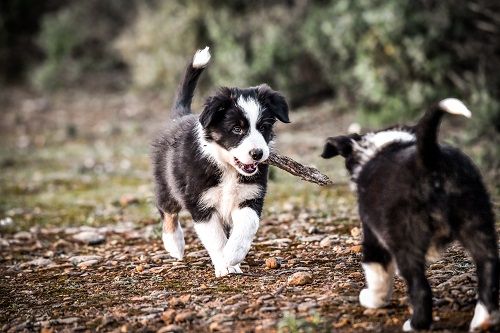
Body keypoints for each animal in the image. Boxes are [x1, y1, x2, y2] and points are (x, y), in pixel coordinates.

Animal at [151, 46, 290, 274]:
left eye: (263, 127)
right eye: (237, 129)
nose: (258, 154)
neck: (227, 167)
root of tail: (180, 116)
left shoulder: (250, 196)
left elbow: (246, 226)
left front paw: (233, 256)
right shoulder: (201, 203)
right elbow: (215, 238)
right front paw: (224, 265)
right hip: (166, 183)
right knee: (167, 210)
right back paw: (175, 244)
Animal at [322, 98, 498, 330]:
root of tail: (429, 156)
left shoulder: (372, 235)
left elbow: (376, 272)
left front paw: (372, 299)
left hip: (405, 237)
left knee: (420, 287)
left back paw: (416, 324)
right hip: (476, 220)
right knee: (488, 265)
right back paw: (483, 319)